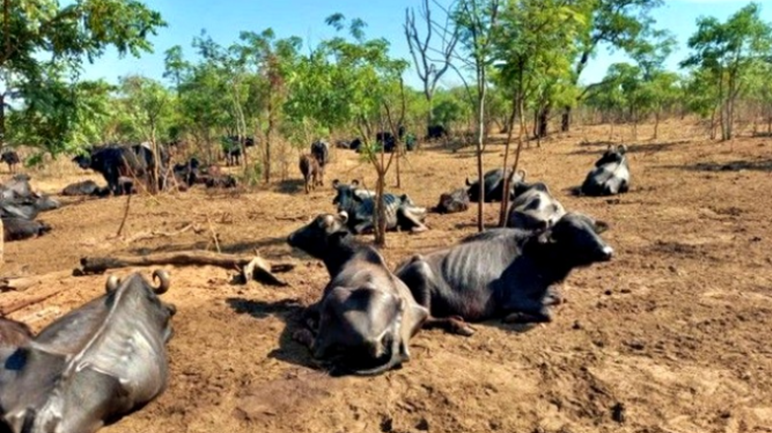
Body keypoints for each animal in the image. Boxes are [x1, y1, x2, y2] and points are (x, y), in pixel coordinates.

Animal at [286, 211, 428, 372]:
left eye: (317, 226)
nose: (290, 237)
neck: (348, 255)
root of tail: (393, 335)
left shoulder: (322, 300)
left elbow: (304, 312)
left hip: (334, 296)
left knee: (318, 349)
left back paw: (302, 333)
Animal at [396, 212, 612, 334]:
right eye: (573, 231)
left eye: (593, 228)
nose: (607, 251)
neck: (535, 255)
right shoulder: (512, 299)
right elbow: (547, 312)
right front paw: (514, 316)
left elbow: (556, 298)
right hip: (421, 273)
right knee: (425, 317)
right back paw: (460, 325)